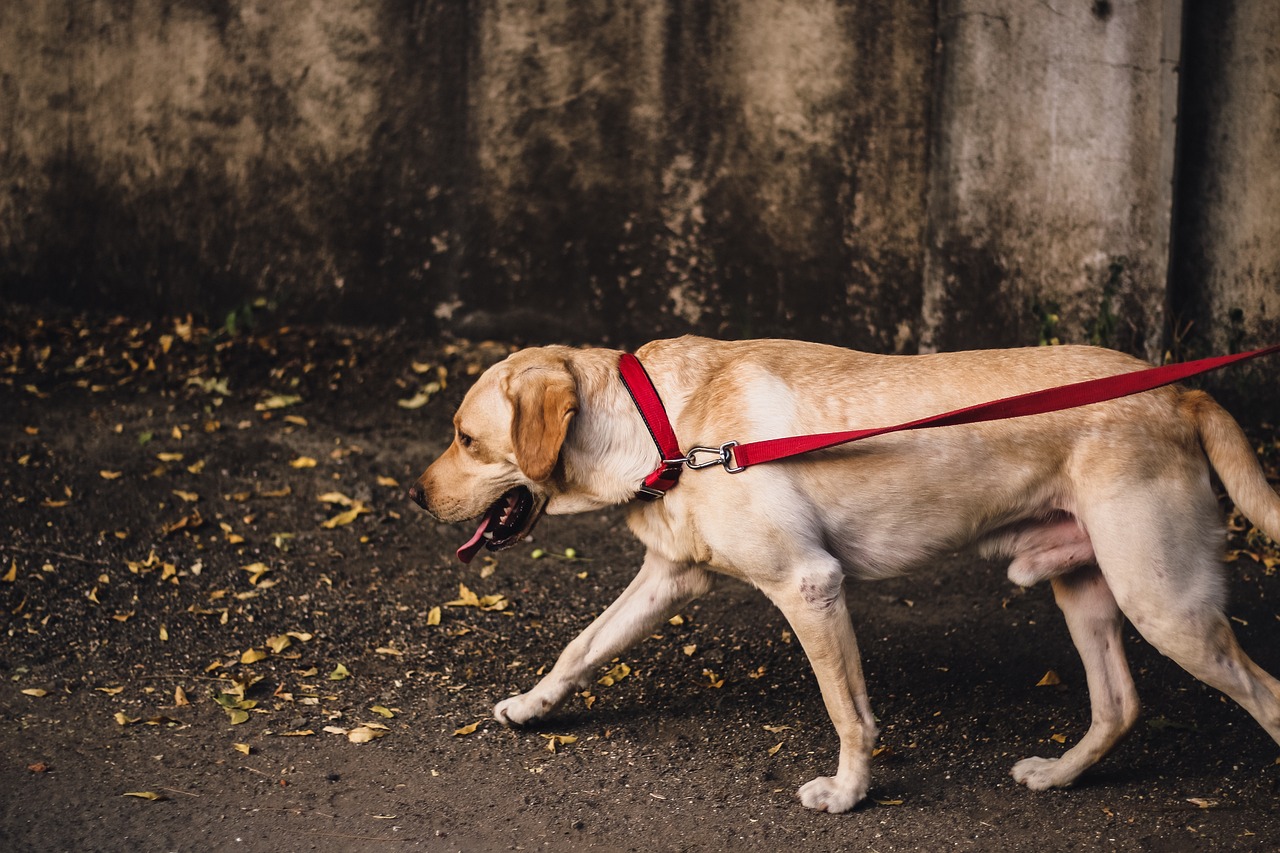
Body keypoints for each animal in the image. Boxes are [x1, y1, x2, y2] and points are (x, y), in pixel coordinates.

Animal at [409, 335, 1280, 809]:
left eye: (466, 439)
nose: (415, 496)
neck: (667, 424)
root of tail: (1183, 391)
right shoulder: (668, 578)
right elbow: (581, 646)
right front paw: (532, 705)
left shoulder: (809, 585)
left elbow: (848, 712)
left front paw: (849, 793)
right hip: (1089, 590)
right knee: (1119, 703)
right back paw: (1061, 773)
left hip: (1163, 600)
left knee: (1263, 694)